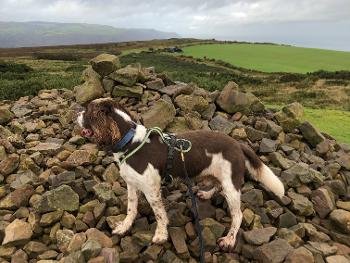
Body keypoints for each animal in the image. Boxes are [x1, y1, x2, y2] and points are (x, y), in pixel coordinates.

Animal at [77, 98, 284, 252]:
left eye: (87, 112)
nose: (76, 114)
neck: (130, 142)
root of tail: (238, 144)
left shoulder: (151, 188)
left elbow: (159, 214)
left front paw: (161, 235)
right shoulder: (132, 184)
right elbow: (131, 208)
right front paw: (124, 227)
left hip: (231, 185)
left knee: (237, 215)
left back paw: (229, 239)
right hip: (221, 177)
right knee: (217, 186)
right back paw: (206, 194)